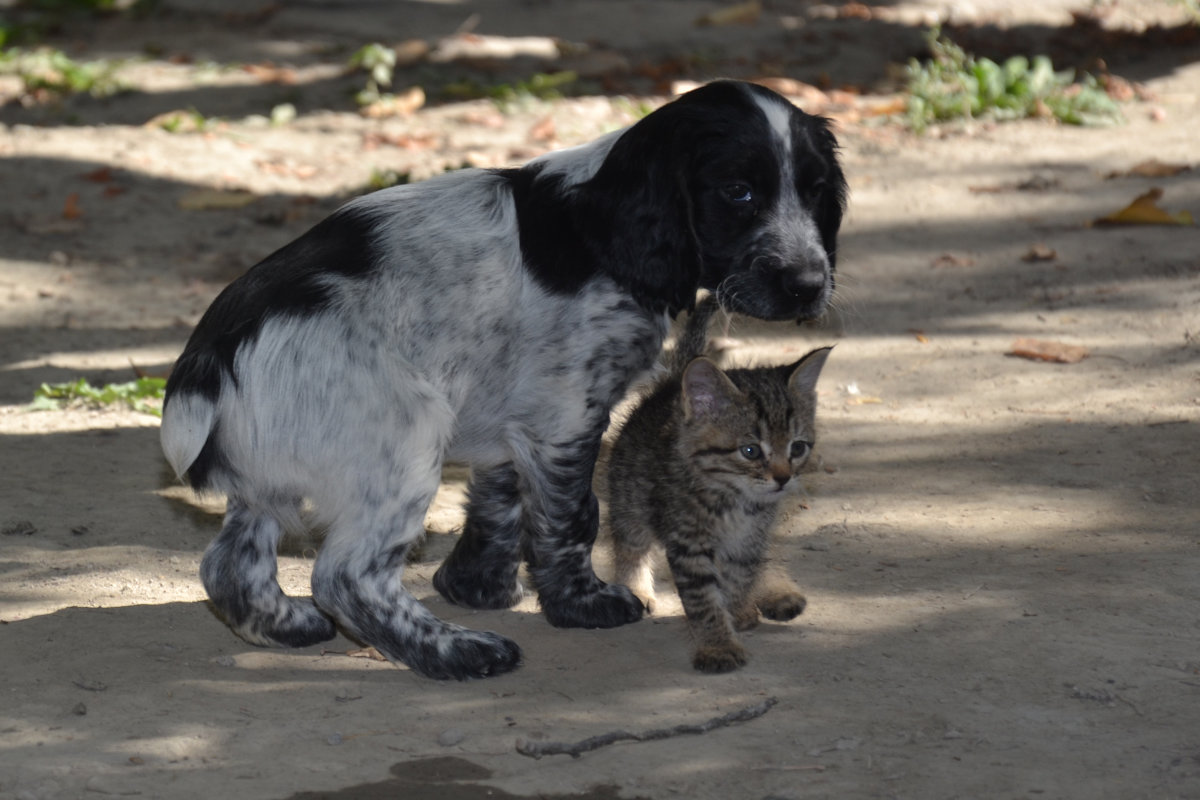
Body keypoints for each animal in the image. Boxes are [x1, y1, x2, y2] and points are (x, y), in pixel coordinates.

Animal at [604, 297, 830, 671]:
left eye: (797, 448)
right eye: (751, 451)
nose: (783, 478)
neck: (735, 501)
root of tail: (671, 386)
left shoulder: (749, 539)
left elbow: (740, 577)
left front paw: (738, 611)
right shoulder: (688, 544)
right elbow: (704, 601)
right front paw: (718, 645)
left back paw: (774, 593)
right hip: (629, 497)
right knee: (630, 544)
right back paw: (635, 587)